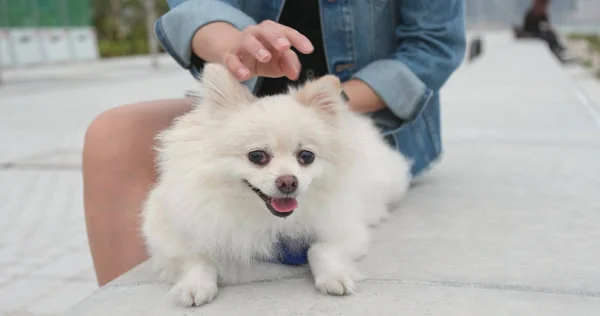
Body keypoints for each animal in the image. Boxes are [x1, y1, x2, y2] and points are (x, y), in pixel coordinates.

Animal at [141, 63, 412, 308]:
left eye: (306, 156)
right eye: (257, 156)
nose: (288, 181)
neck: (265, 219)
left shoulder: (345, 230)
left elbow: (319, 249)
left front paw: (333, 276)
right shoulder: (171, 239)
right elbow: (196, 258)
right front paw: (194, 285)